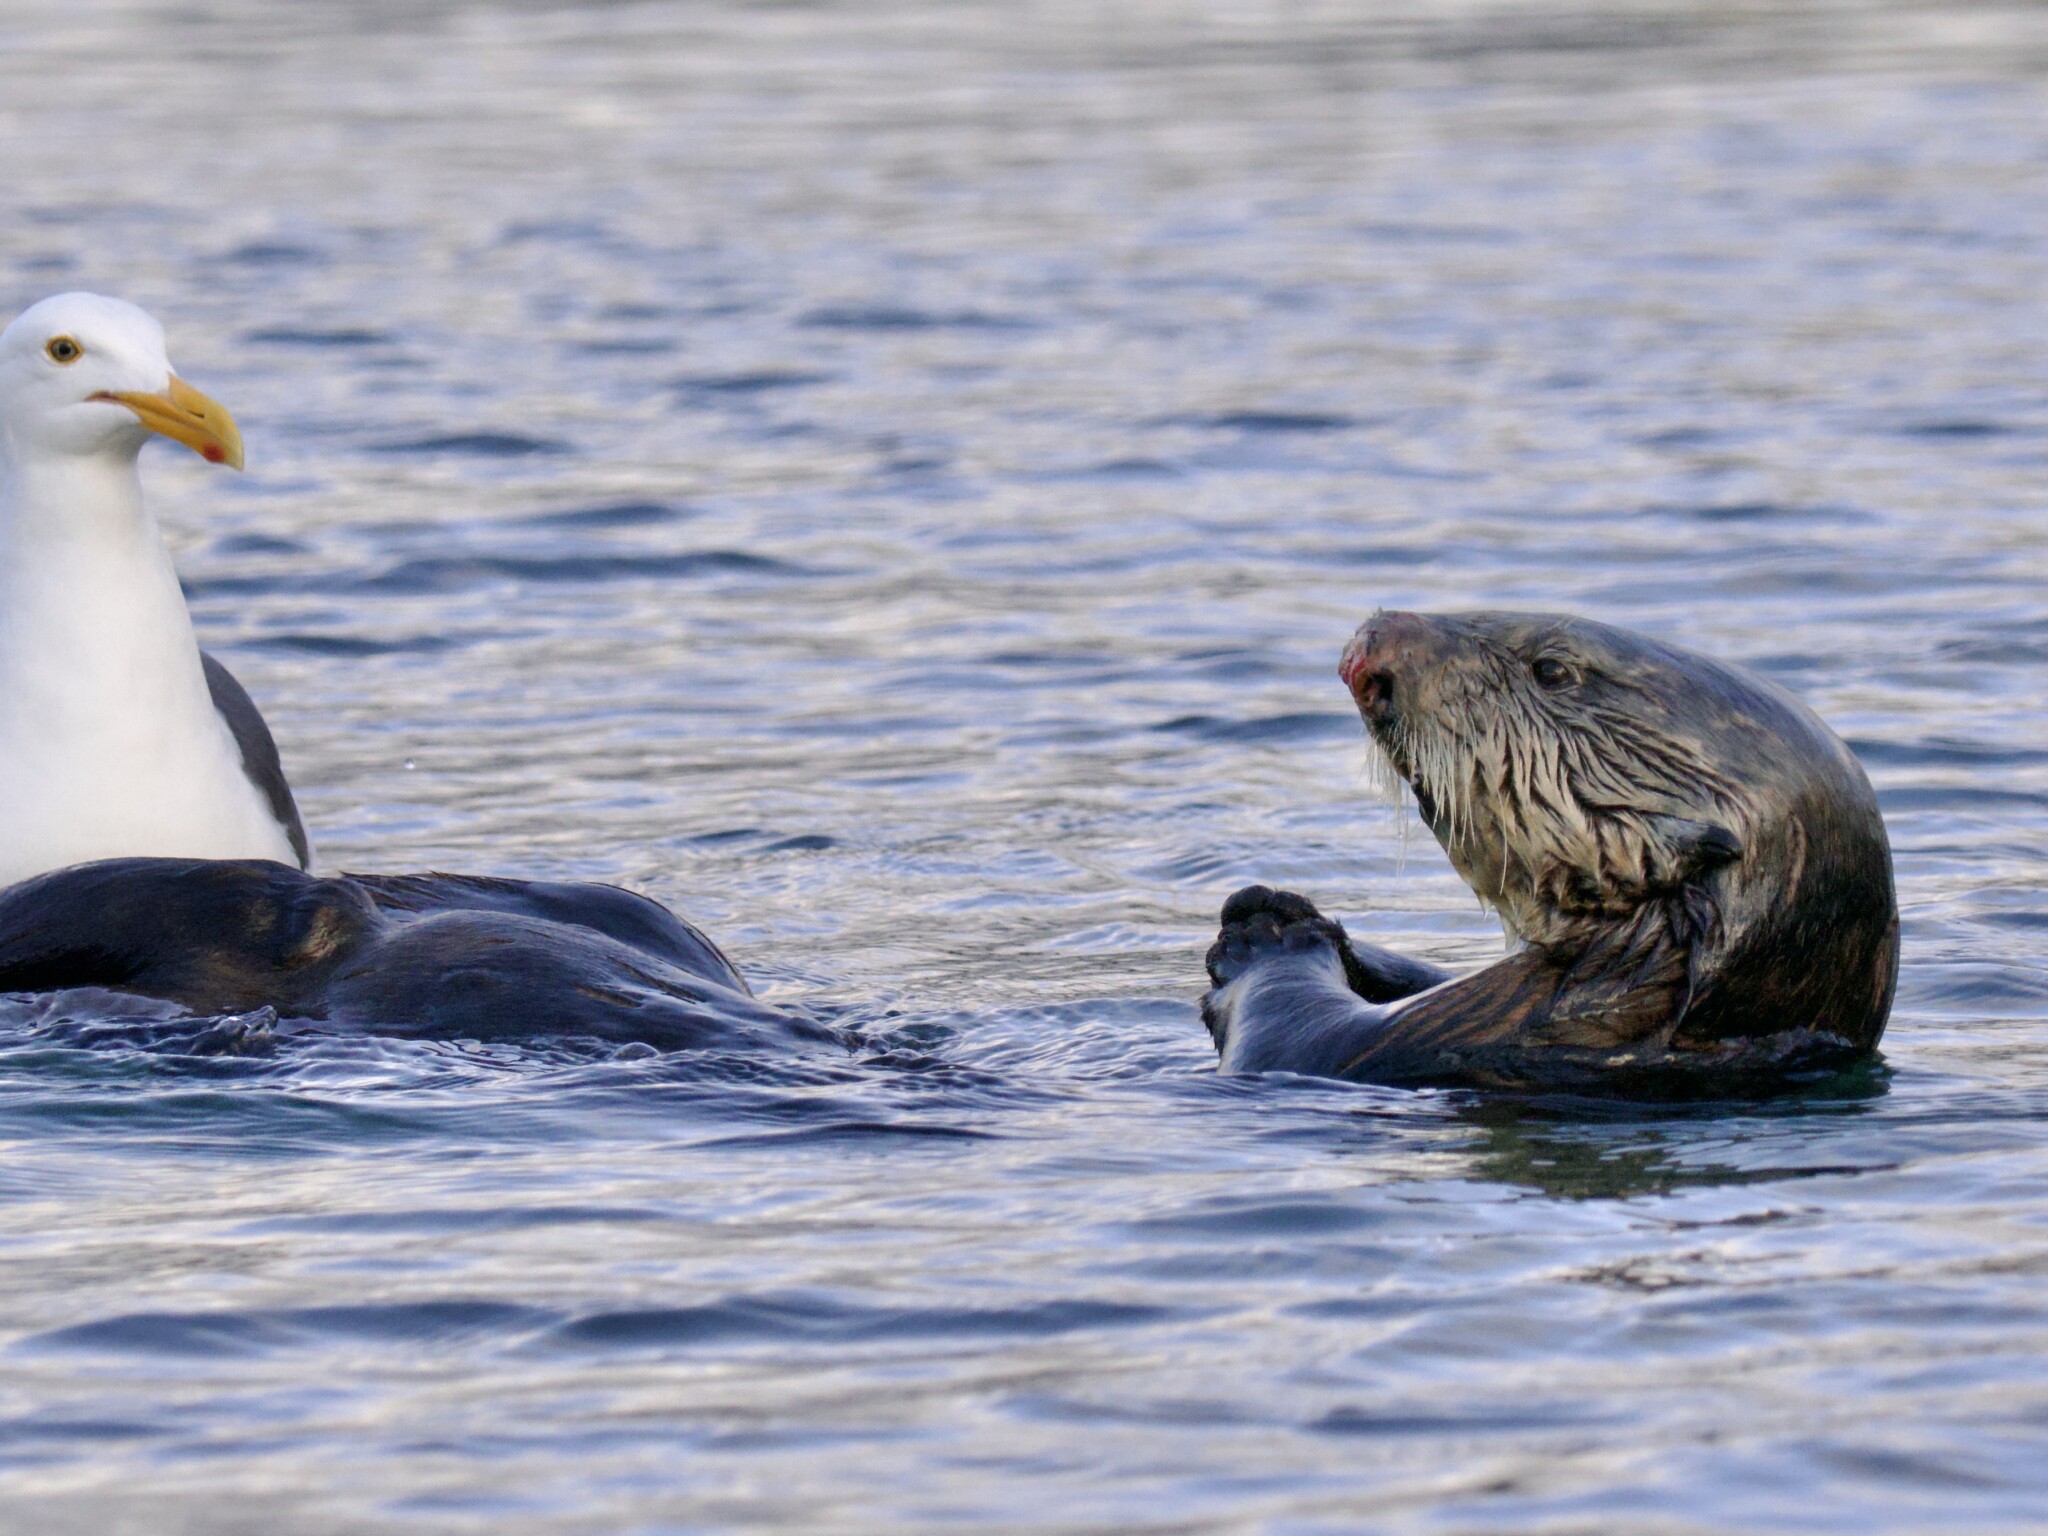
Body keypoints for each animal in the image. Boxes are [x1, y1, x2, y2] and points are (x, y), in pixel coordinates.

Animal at [1201, 611, 1898, 1090]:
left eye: (1552, 670)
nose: (1371, 641)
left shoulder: (1441, 1036)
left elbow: (1293, 1036)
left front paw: (1266, 936)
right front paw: (1284, 906)